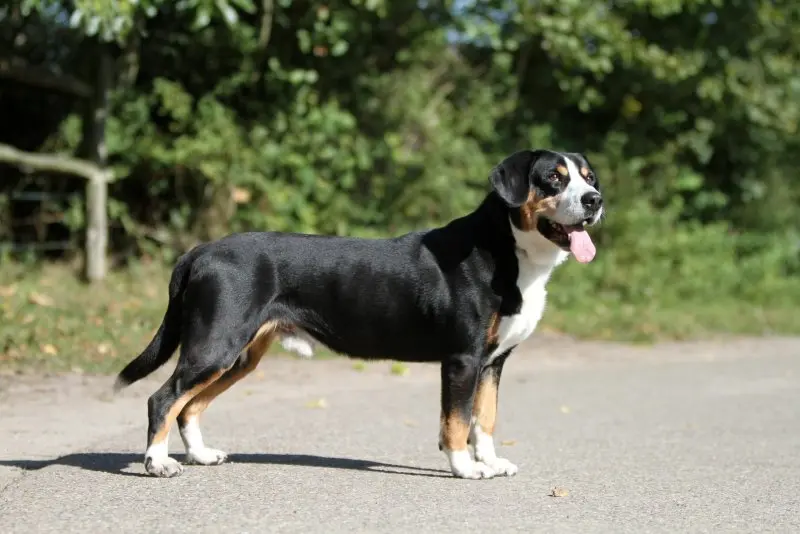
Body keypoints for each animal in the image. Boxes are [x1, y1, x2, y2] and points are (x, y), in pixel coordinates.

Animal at [112, 150, 604, 482]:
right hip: (215, 343)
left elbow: (484, 420)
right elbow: (457, 421)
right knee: (163, 398)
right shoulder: (463, 359)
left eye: (587, 177)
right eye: (553, 179)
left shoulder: (492, 363)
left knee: (189, 405)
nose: (595, 200)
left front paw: (490, 461)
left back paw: (200, 455)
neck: (509, 252)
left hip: (238, 356)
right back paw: (158, 463)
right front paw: (465, 468)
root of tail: (200, 251)